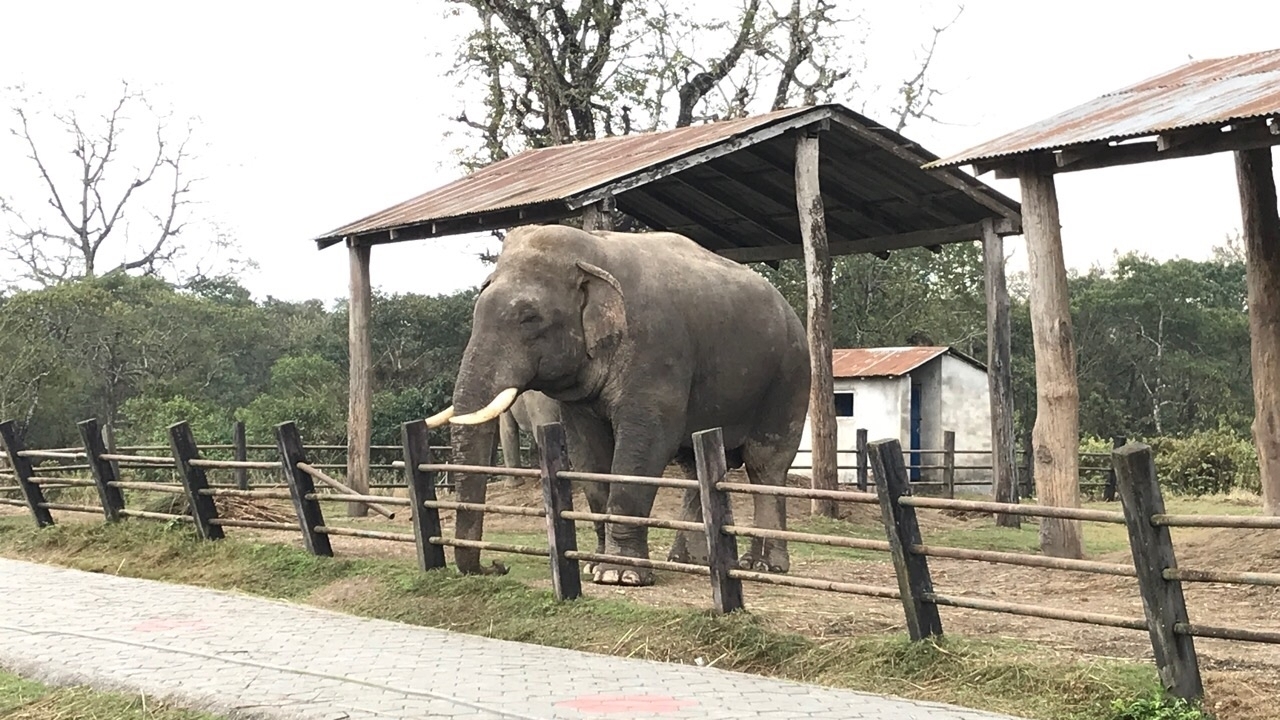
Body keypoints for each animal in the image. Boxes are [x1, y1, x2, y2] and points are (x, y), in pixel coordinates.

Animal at [426, 224, 810, 586]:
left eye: (529, 318)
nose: (498, 565)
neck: (593, 250)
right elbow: (588, 451)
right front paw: (593, 566)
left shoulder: (657, 351)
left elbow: (645, 444)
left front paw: (620, 575)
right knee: (693, 464)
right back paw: (688, 560)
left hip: (789, 377)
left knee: (765, 464)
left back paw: (763, 566)